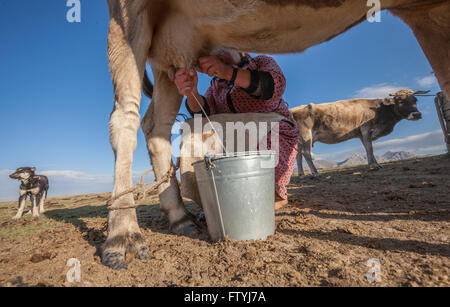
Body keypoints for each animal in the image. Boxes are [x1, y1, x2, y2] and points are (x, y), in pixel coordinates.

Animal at [290, 89, 428, 177]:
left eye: (415, 100)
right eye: (400, 101)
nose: (417, 114)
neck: (380, 111)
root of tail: (293, 110)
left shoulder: (362, 134)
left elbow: (368, 147)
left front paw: (376, 164)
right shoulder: (367, 129)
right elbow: (370, 148)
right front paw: (373, 166)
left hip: (299, 140)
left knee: (298, 156)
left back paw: (302, 175)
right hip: (306, 135)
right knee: (306, 153)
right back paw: (316, 173)